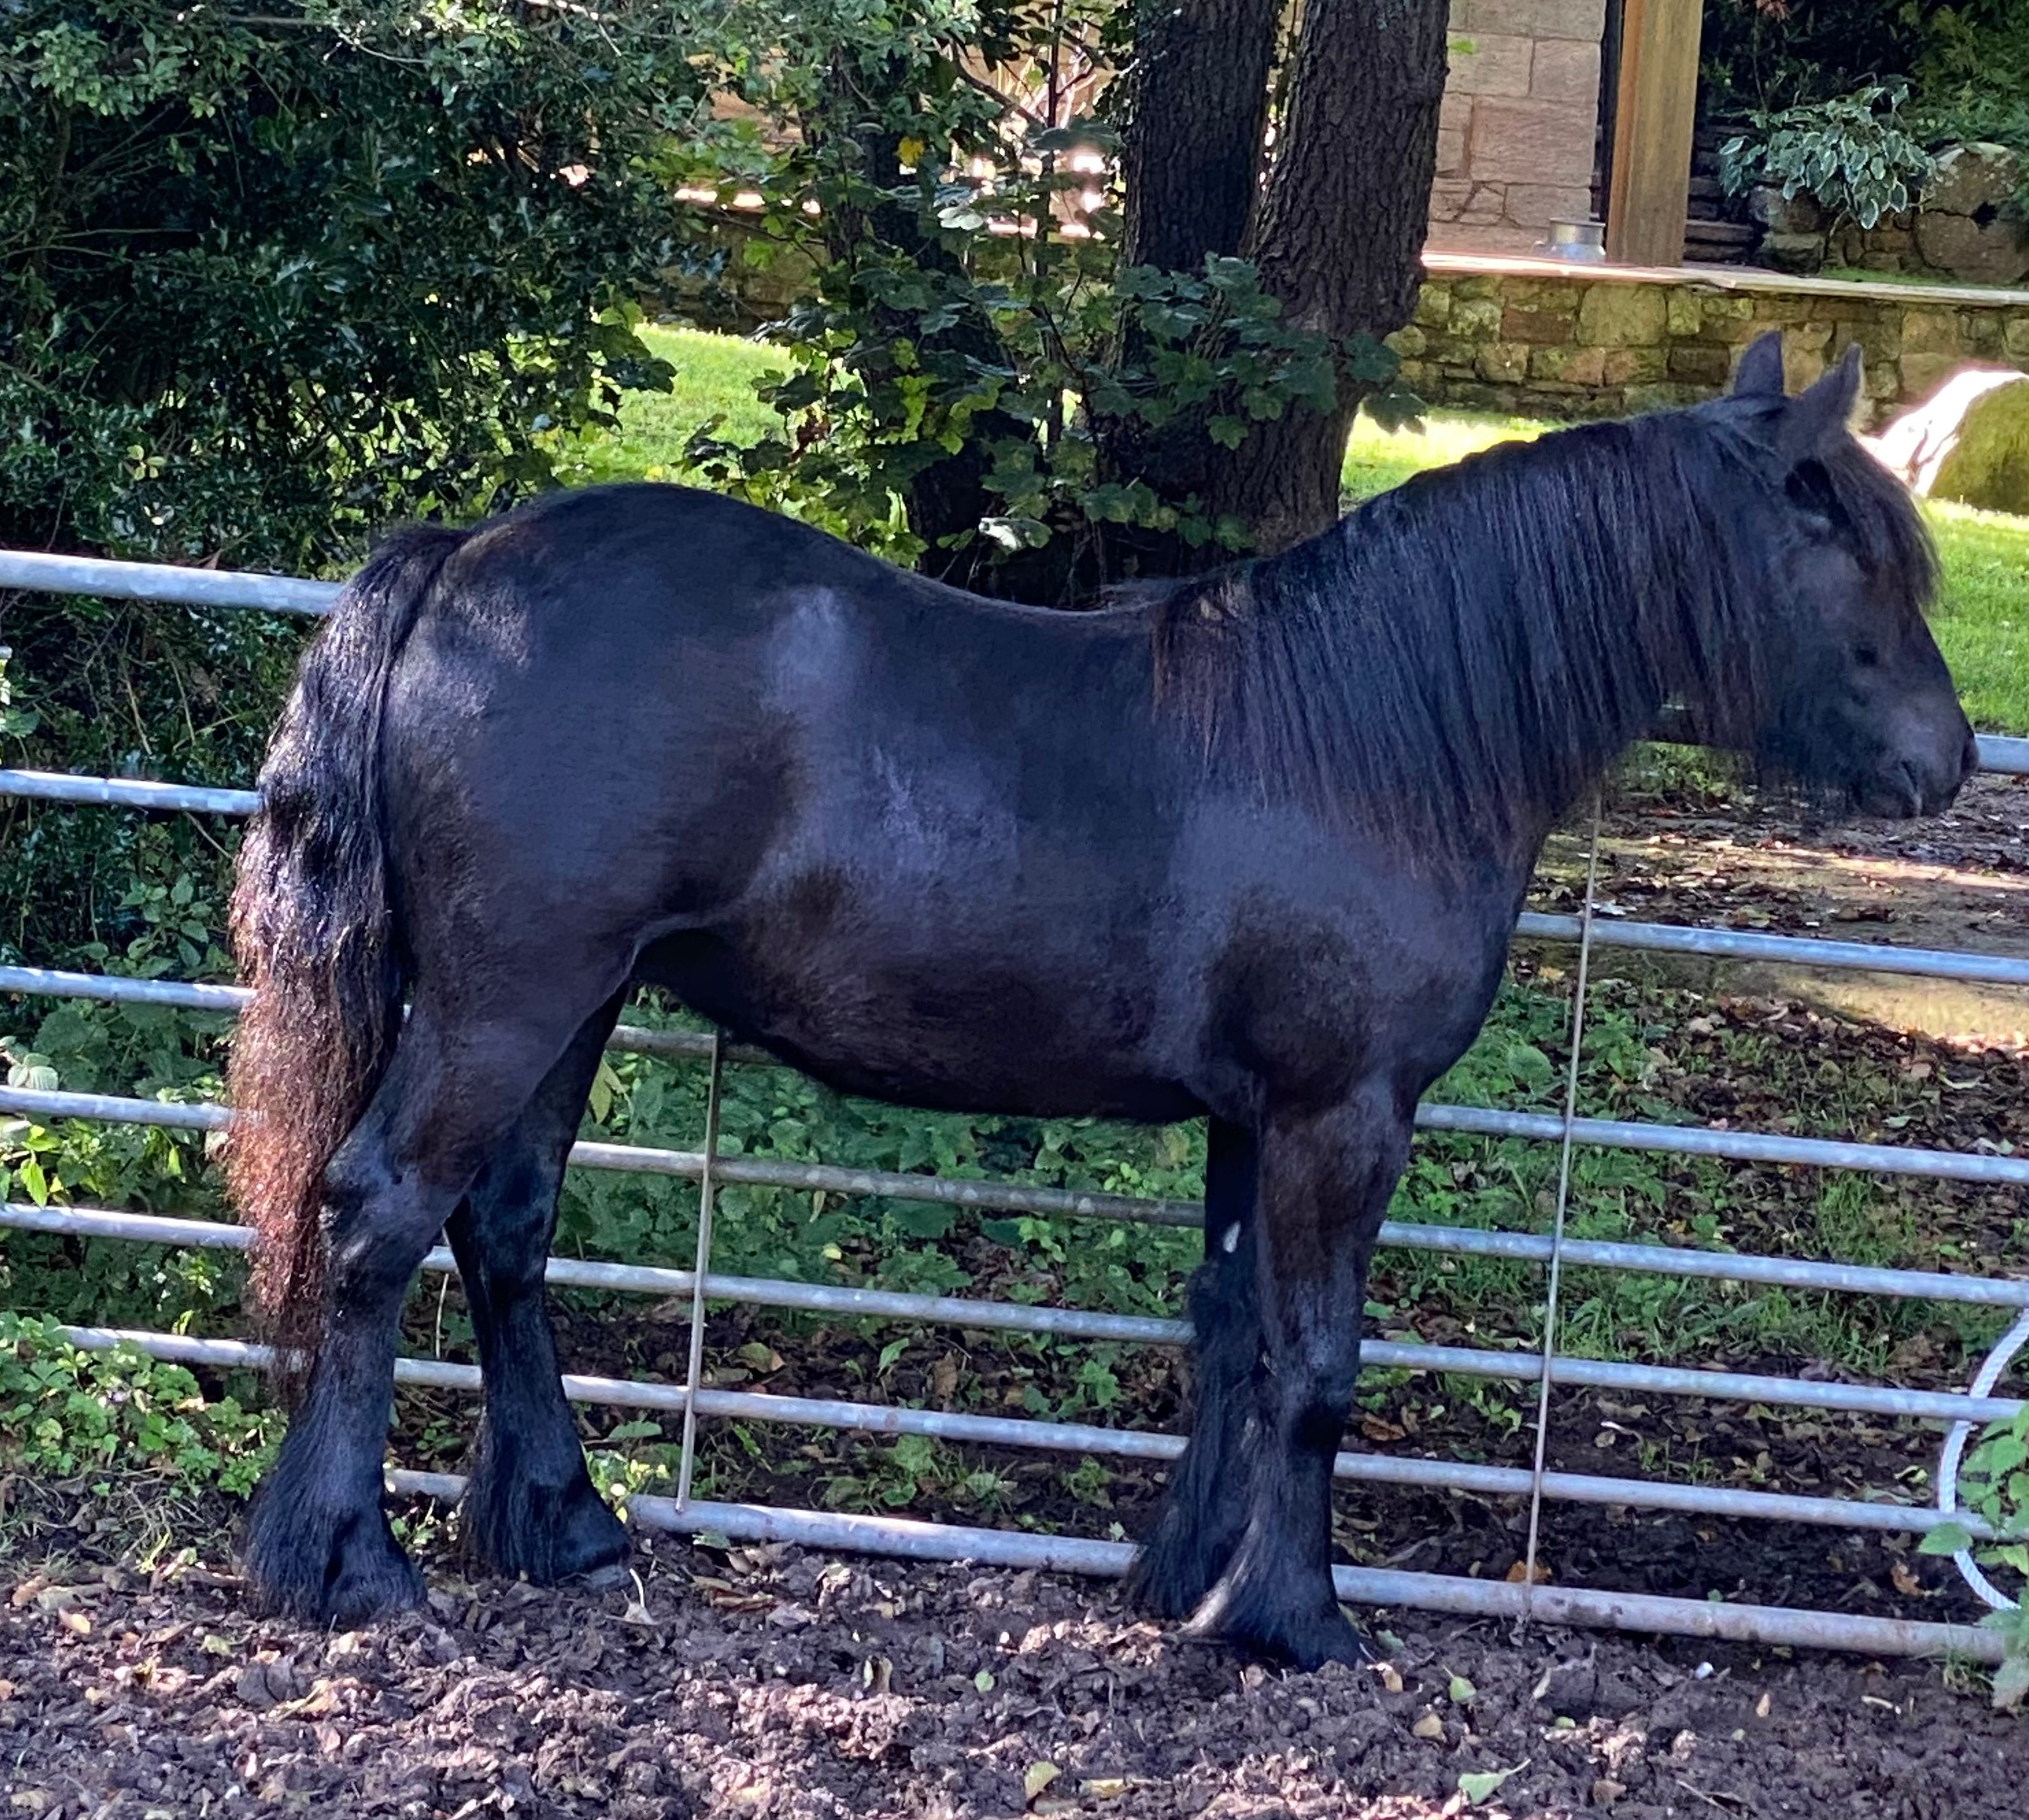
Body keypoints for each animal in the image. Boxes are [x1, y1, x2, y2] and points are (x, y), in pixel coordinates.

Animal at [225, 333, 1974, 1668]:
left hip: (572, 1006)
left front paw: (1188, 1581)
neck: (1380, 735)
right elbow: (1317, 1365)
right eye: (1852, 553)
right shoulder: (1343, 1115)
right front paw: (1293, 1621)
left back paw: (562, 1524)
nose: (1945, 765)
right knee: (377, 1216)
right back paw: (348, 1561)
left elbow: (1235, 1332)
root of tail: (464, 561)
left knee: (504, 1231)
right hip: (507, 1004)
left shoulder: (1253, 1117)